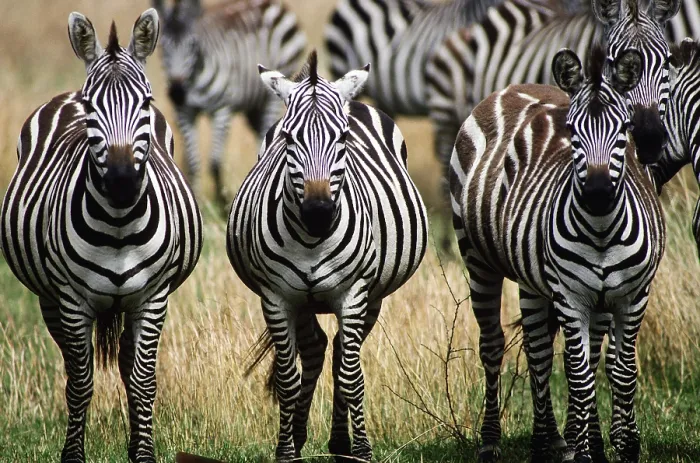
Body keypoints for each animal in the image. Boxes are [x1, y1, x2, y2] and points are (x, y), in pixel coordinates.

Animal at [0, 9, 202, 463]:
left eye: (146, 103)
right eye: (92, 108)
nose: (124, 181)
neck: (119, 226)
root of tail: (66, 93)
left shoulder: (154, 296)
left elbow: (143, 380)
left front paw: (143, 454)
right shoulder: (72, 299)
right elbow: (81, 382)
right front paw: (73, 455)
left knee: (127, 361)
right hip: (48, 298)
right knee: (74, 366)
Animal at [152, 0, 307, 204]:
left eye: (192, 45)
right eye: (163, 46)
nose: (177, 93)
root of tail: (272, 3)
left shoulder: (221, 110)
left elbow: (215, 162)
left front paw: (222, 201)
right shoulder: (184, 112)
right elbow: (193, 163)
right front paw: (195, 198)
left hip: (272, 95)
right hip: (253, 107)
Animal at [226, 51, 428, 462]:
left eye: (344, 137)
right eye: (289, 139)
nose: (318, 213)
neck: (311, 241)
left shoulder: (354, 294)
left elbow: (352, 377)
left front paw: (362, 450)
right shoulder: (277, 298)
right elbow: (287, 379)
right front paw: (286, 451)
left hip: (373, 297)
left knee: (339, 356)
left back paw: (341, 445)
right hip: (304, 301)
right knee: (317, 349)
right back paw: (305, 437)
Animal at [449, 45, 665, 462]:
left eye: (623, 130)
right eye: (572, 132)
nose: (597, 193)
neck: (601, 231)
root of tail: (515, 86)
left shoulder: (632, 295)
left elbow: (620, 371)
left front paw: (619, 445)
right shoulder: (570, 295)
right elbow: (579, 375)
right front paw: (584, 450)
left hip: (534, 279)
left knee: (541, 351)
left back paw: (551, 440)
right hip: (477, 259)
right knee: (496, 346)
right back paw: (494, 441)